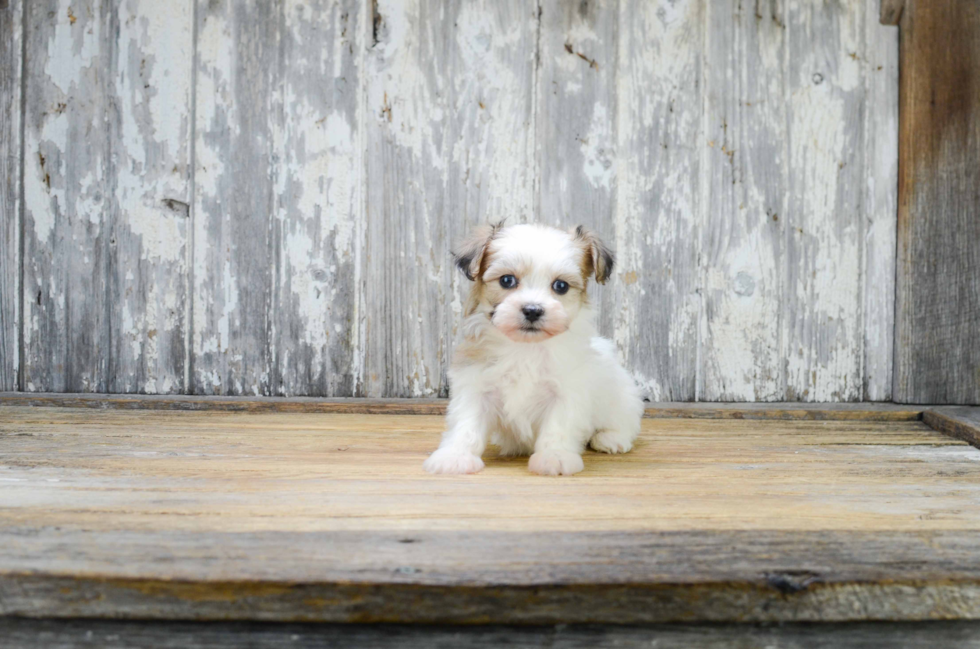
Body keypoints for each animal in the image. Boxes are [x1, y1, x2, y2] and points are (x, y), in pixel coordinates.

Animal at [422, 223, 644, 476]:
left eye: (561, 286)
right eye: (507, 280)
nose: (532, 310)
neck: (525, 347)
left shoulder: (567, 390)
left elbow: (557, 425)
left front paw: (554, 456)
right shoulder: (475, 384)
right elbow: (467, 423)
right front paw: (455, 456)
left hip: (621, 397)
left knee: (623, 420)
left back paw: (611, 438)